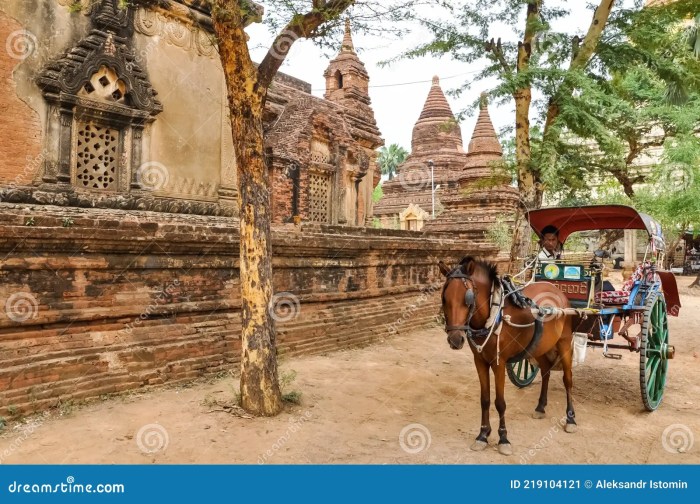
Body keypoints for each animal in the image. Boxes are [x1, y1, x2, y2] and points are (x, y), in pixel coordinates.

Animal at [440, 258, 576, 454]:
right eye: (444, 298)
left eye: (468, 299)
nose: (455, 339)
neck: (493, 315)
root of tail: (557, 289)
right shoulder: (479, 361)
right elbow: (485, 399)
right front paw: (483, 435)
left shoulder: (499, 362)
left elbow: (500, 402)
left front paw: (503, 438)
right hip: (540, 346)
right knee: (545, 371)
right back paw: (541, 407)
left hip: (564, 342)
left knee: (567, 380)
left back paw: (571, 418)